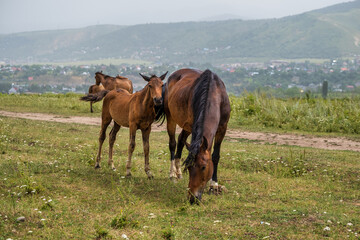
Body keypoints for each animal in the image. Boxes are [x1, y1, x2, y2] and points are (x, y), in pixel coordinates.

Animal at [161, 68, 229, 203]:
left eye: (203, 167)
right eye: (189, 168)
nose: (193, 198)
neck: (214, 93)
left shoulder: (222, 128)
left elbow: (215, 156)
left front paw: (214, 185)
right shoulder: (194, 126)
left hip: (186, 126)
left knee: (181, 140)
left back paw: (178, 173)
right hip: (171, 118)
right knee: (173, 143)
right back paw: (173, 175)